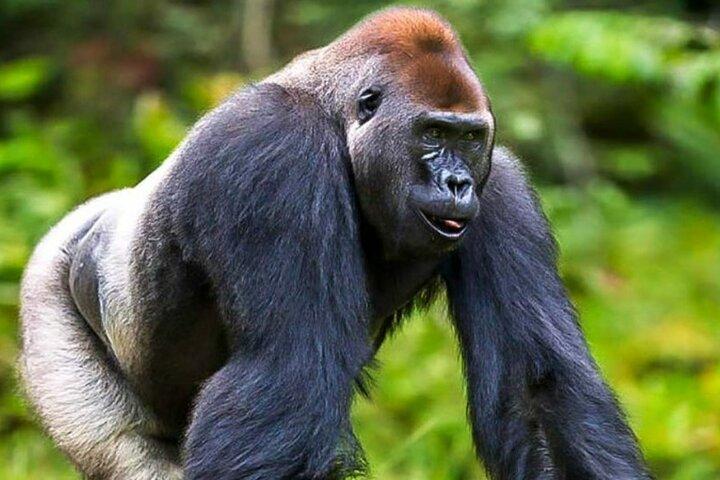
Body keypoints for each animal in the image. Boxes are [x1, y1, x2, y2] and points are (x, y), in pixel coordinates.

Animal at [19, 7, 651, 480]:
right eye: (432, 133)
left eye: (470, 139)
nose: (457, 182)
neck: (335, 114)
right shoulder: (276, 151)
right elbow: (288, 378)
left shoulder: (503, 189)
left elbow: (537, 390)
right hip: (49, 302)